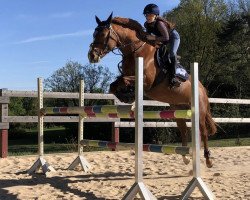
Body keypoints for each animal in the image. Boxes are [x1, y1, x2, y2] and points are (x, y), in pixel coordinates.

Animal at [88, 13, 217, 168]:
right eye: (94, 34)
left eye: (102, 34)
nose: (92, 56)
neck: (135, 50)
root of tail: (202, 88)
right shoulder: (127, 77)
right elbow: (113, 85)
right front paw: (126, 96)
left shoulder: (147, 82)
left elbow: (125, 81)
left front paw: (129, 96)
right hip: (177, 109)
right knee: (183, 129)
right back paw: (185, 156)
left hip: (200, 110)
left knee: (203, 132)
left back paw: (208, 159)